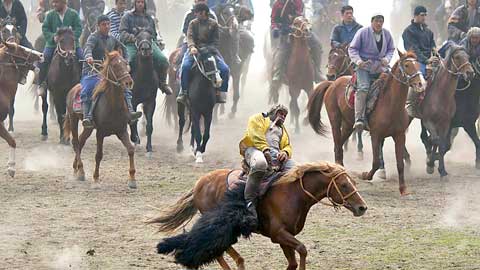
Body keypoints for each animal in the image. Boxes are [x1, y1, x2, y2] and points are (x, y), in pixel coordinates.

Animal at [62, 51, 137, 188]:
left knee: (81, 141)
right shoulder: (100, 133)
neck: (113, 106)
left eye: (125, 63)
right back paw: (81, 171)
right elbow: (98, 155)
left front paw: (132, 179)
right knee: (76, 142)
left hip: (88, 128)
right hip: (73, 118)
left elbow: (130, 150)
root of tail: (73, 89)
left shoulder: (122, 130)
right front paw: (96, 179)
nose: (128, 82)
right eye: (115, 65)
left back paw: (76, 169)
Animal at [147, 161, 368, 268]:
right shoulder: (279, 234)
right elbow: (303, 250)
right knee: (216, 248)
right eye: (344, 184)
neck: (293, 194)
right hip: (218, 225)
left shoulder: (284, 238)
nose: (362, 208)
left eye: (353, 183)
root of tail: (199, 183)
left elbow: (293, 262)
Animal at [308, 50, 424, 195]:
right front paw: (364, 175)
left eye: (418, 65)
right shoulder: (376, 135)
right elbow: (376, 162)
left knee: (339, 144)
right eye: (407, 65)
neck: (390, 103)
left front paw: (403, 189)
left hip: (347, 125)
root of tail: (332, 83)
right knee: (337, 145)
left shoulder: (399, 135)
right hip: (335, 120)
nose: (420, 84)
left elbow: (400, 164)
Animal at [418, 44, 474, 179]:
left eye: (468, 56)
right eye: (457, 57)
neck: (441, 94)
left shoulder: (445, 123)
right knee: (424, 136)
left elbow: (442, 144)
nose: (470, 73)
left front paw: (441, 170)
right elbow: (435, 140)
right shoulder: (428, 120)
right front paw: (430, 163)